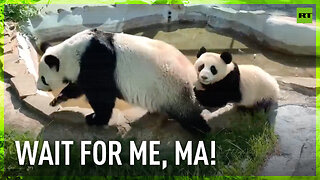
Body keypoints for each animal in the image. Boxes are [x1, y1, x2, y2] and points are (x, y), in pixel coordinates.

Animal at [36, 28, 211, 135]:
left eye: (43, 78)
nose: (37, 86)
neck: (73, 53)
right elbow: (78, 87)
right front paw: (57, 99)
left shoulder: (96, 61)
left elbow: (101, 96)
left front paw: (94, 119)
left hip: (172, 88)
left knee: (188, 115)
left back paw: (204, 132)